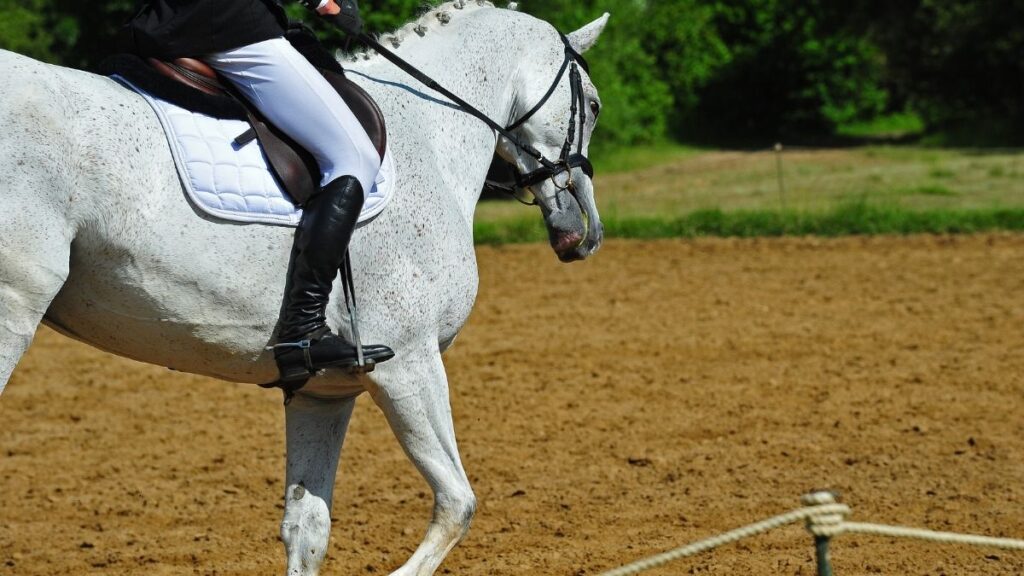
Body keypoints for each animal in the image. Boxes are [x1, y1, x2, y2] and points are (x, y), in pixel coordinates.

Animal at [0, 2, 606, 574]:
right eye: (595, 105)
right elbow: (458, 503)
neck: (427, 135)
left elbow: (307, 529)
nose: (584, 232)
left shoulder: (324, 391)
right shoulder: (410, 363)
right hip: (13, 312)